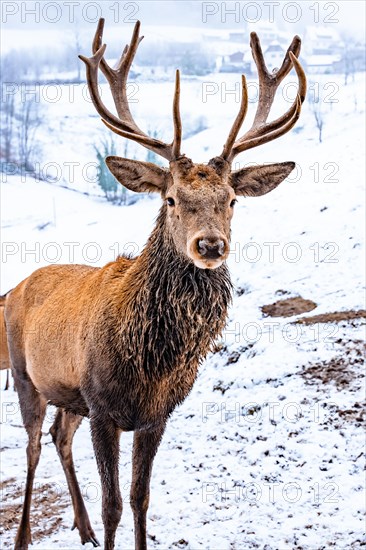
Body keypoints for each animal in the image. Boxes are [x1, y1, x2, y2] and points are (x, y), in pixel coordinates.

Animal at [3, 17, 306, 550]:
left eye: (231, 200)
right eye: (170, 198)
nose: (210, 245)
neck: (149, 361)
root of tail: (17, 286)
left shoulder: (156, 415)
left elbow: (141, 499)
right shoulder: (103, 407)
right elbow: (114, 504)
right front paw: (103, 524)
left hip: (69, 395)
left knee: (60, 438)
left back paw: (81, 529)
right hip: (25, 375)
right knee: (34, 447)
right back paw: (25, 537)